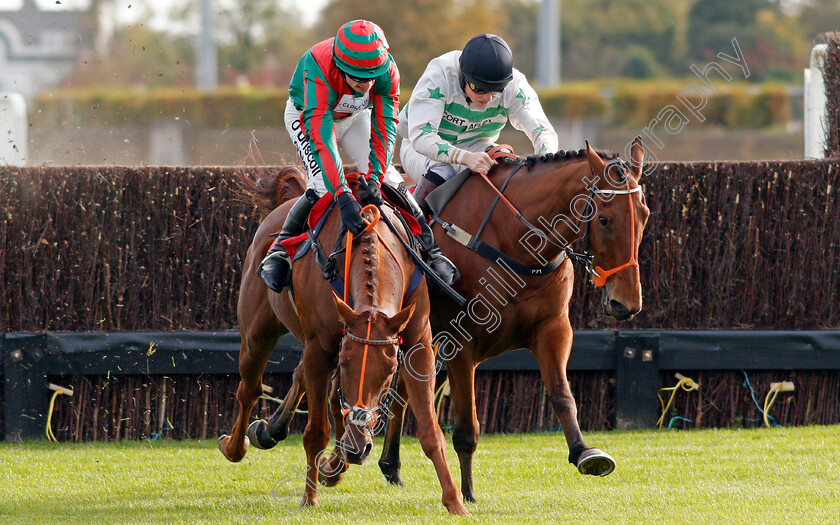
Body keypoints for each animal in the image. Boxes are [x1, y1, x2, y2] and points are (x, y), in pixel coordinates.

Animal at [220, 169, 470, 516]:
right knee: (250, 388)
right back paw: (239, 444)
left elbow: (431, 432)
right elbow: (316, 431)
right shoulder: (322, 349)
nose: (358, 448)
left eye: (390, 372)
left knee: (313, 390)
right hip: (257, 331)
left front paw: (455, 501)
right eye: (347, 363)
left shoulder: (418, 343)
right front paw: (309, 498)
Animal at [249, 137, 648, 502]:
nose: (626, 302)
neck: (513, 243)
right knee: (318, 377)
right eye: (604, 219)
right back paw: (276, 432)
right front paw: (467, 492)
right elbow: (466, 426)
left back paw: (377, 461)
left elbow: (563, 394)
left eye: (645, 215)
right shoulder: (462, 341)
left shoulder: (553, 329)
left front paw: (586, 453)